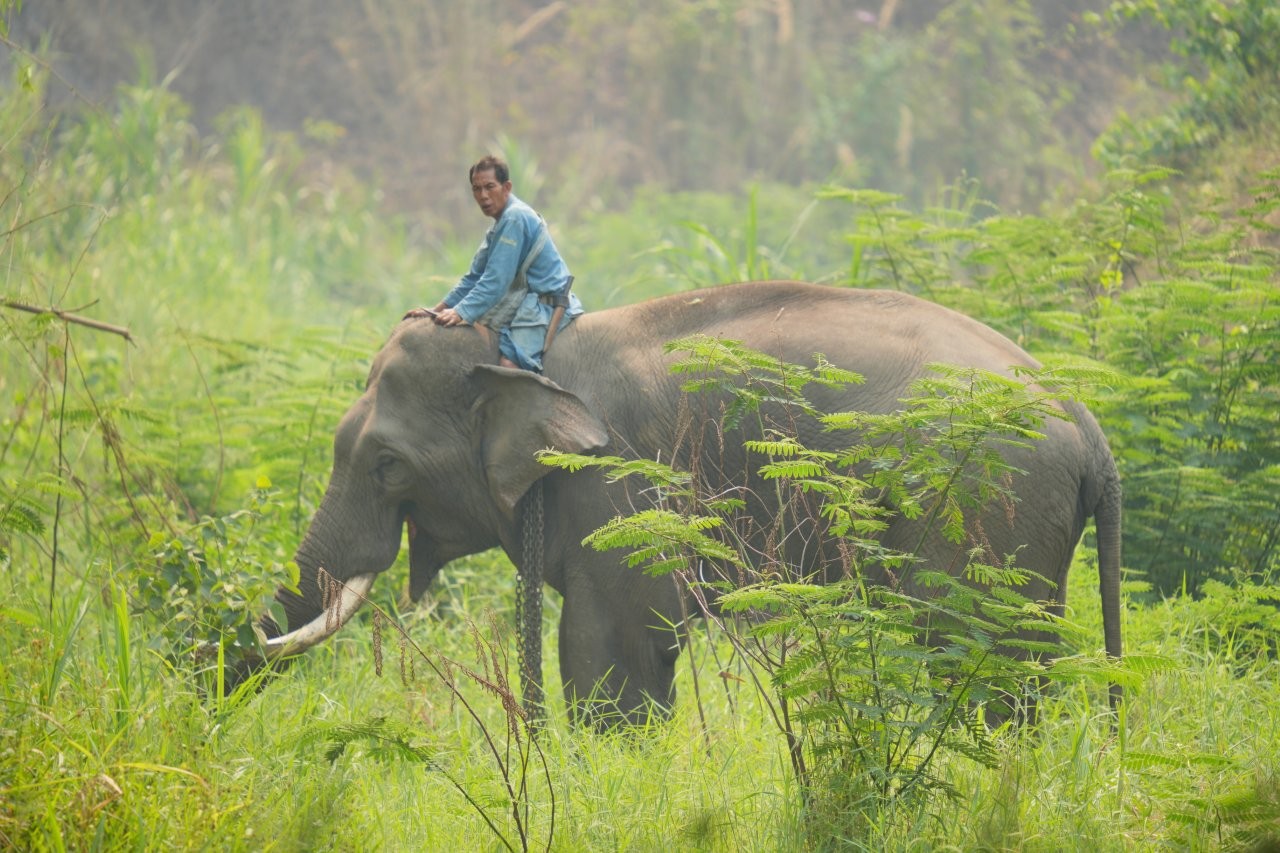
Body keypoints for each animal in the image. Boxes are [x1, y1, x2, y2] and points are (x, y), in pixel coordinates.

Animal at [254, 280, 1123, 724]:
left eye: (386, 465)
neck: (529, 352)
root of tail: (1088, 425)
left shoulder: (616, 484)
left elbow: (614, 645)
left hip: (988, 511)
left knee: (974, 655)